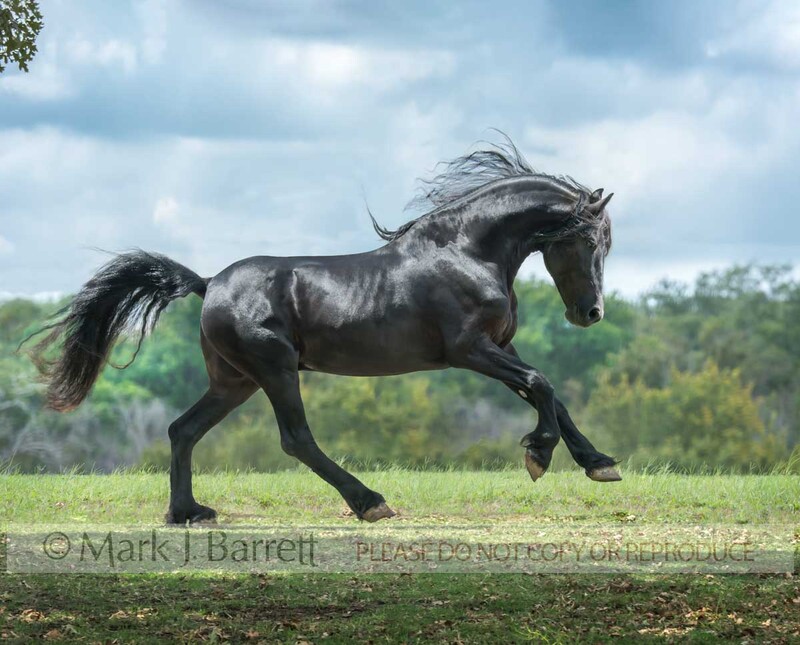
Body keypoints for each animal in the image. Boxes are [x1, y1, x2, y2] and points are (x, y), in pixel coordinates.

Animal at [26, 135, 620, 524]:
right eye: (590, 241)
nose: (590, 314)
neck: (467, 252)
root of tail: (208, 283)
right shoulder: (470, 349)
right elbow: (542, 384)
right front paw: (538, 456)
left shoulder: (499, 346)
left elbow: (551, 394)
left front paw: (599, 464)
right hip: (274, 369)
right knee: (295, 439)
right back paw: (370, 502)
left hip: (234, 381)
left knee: (183, 430)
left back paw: (188, 512)